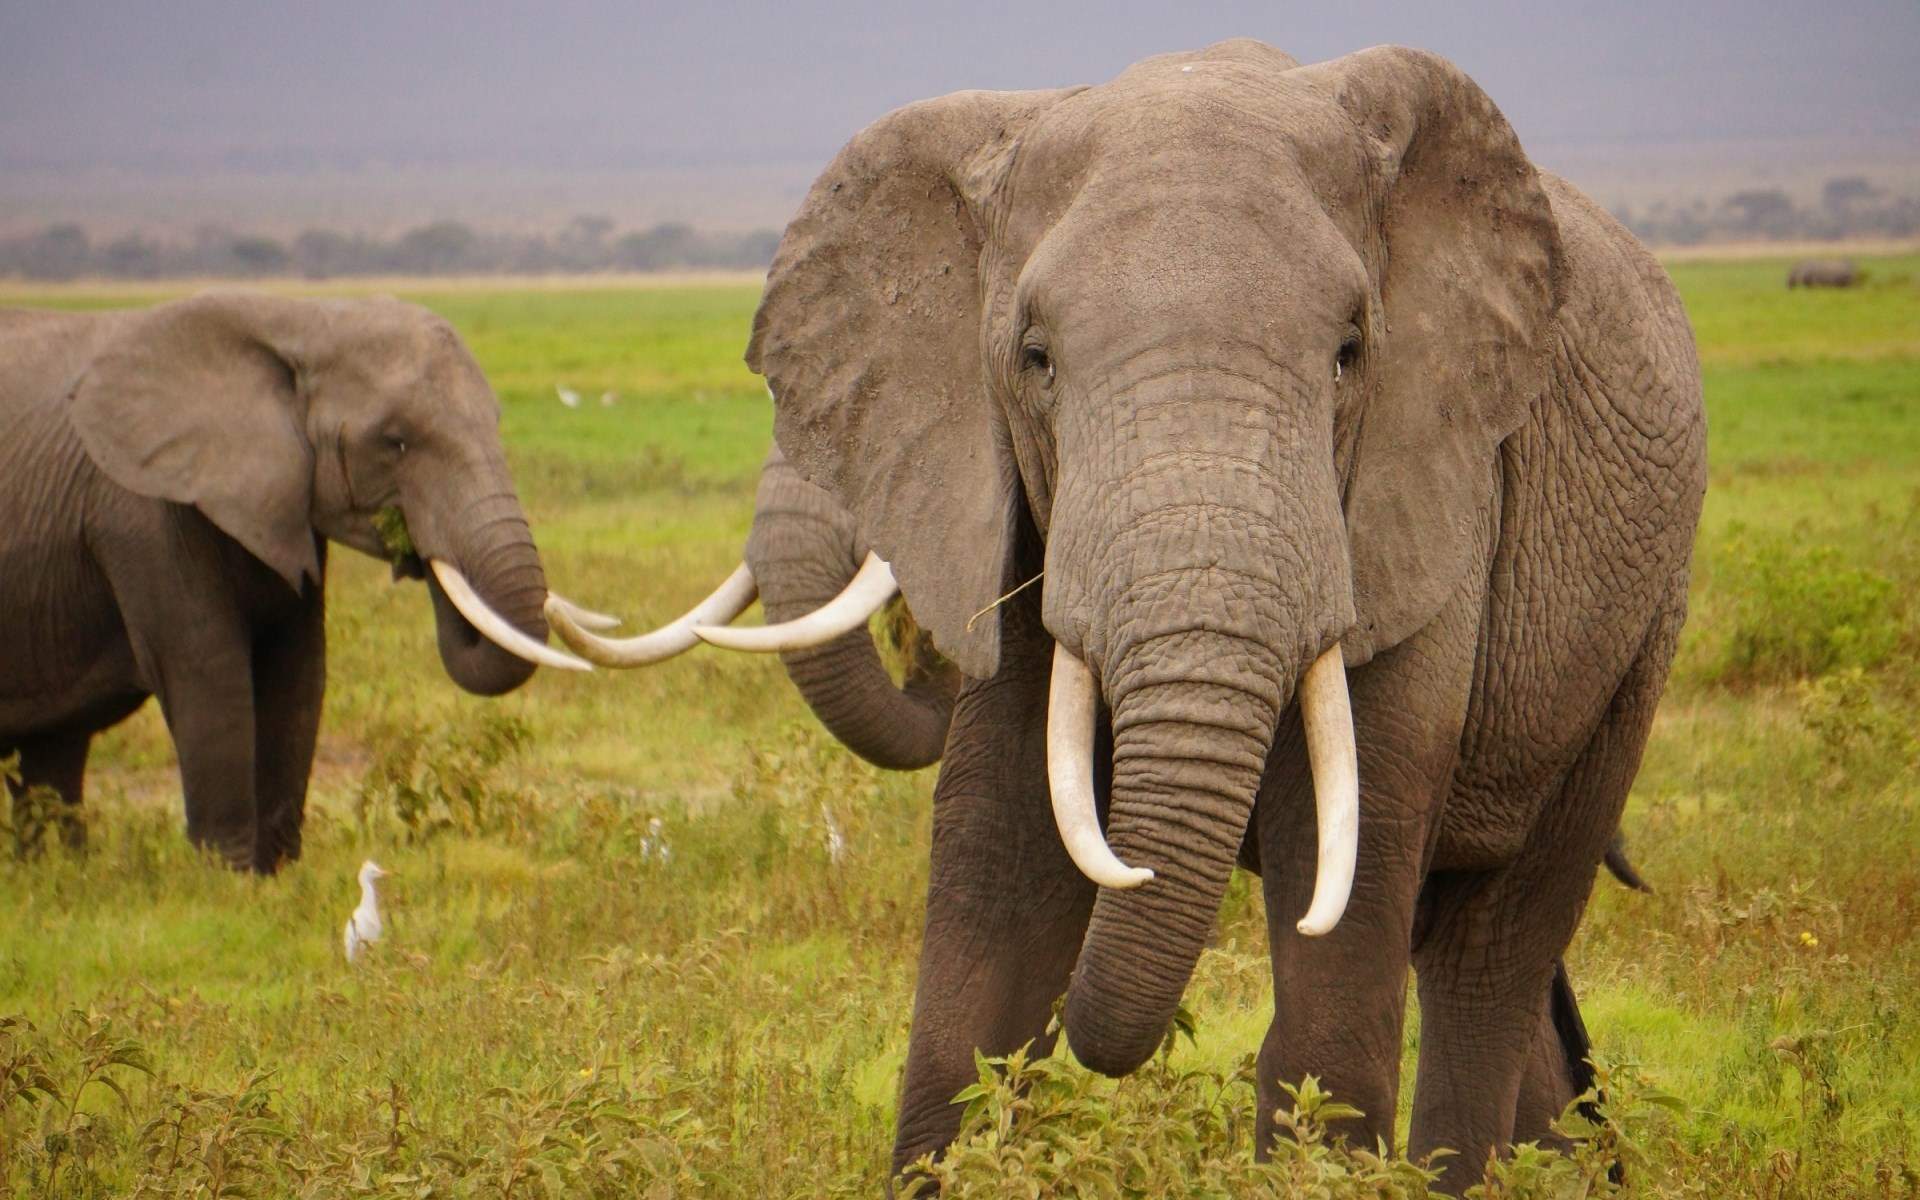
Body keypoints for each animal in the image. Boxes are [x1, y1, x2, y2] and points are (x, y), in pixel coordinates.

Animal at [0, 291, 592, 872]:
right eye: (395, 442)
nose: (417, 553)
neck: (301, 317)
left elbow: (298, 670)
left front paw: (278, 876)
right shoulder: (144, 512)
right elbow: (208, 670)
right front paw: (227, 881)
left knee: (54, 750)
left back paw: (59, 874)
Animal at [730, 40, 1707, 1192]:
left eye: (1350, 352)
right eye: (1034, 358)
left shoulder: (1429, 483)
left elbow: (1347, 866)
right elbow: (1000, 860)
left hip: (1642, 624)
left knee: (1494, 952)